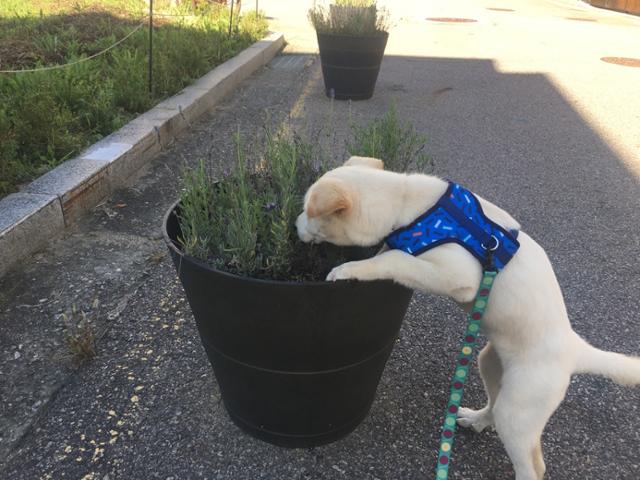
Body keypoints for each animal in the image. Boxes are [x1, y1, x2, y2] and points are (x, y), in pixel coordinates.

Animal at [296, 158, 640, 480]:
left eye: (306, 210)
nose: (293, 226)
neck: (408, 204)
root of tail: (575, 349)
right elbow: (390, 254)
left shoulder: (459, 276)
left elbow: (394, 259)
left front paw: (348, 269)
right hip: (490, 363)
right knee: (494, 407)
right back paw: (476, 420)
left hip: (520, 409)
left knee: (532, 465)